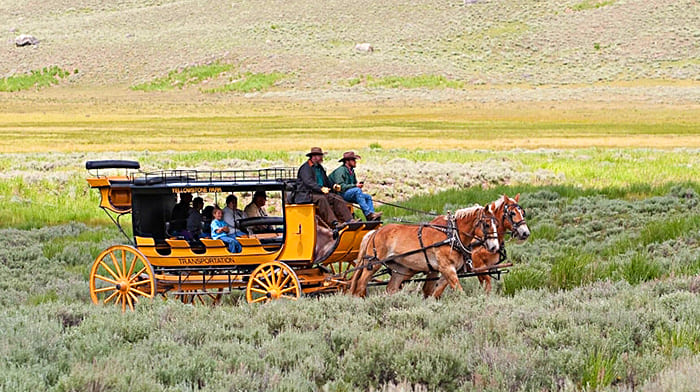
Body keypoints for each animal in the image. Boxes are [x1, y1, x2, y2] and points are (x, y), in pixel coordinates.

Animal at [348, 205, 500, 298]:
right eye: (487, 224)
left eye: (496, 224)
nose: (494, 247)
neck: (451, 234)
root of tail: (375, 232)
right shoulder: (447, 268)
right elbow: (459, 291)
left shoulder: (446, 271)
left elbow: (435, 292)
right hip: (373, 264)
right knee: (361, 284)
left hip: (400, 269)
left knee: (390, 288)